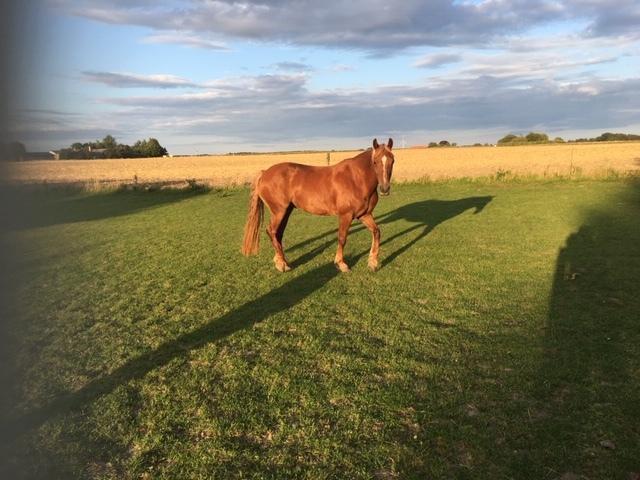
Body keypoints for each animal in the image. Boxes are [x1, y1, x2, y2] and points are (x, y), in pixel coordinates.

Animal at [242, 138, 396, 274]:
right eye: (375, 161)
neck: (356, 179)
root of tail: (264, 173)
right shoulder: (345, 215)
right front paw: (341, 264)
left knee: (277, 234)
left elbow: (376, 232)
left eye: (392, 160)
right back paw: (282, 264)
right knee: (272, 231)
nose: (384, 189)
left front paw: (373, 262)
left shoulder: (364, 214)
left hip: (286, 211)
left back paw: (281, 260)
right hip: (279, 212)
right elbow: (342, 238)